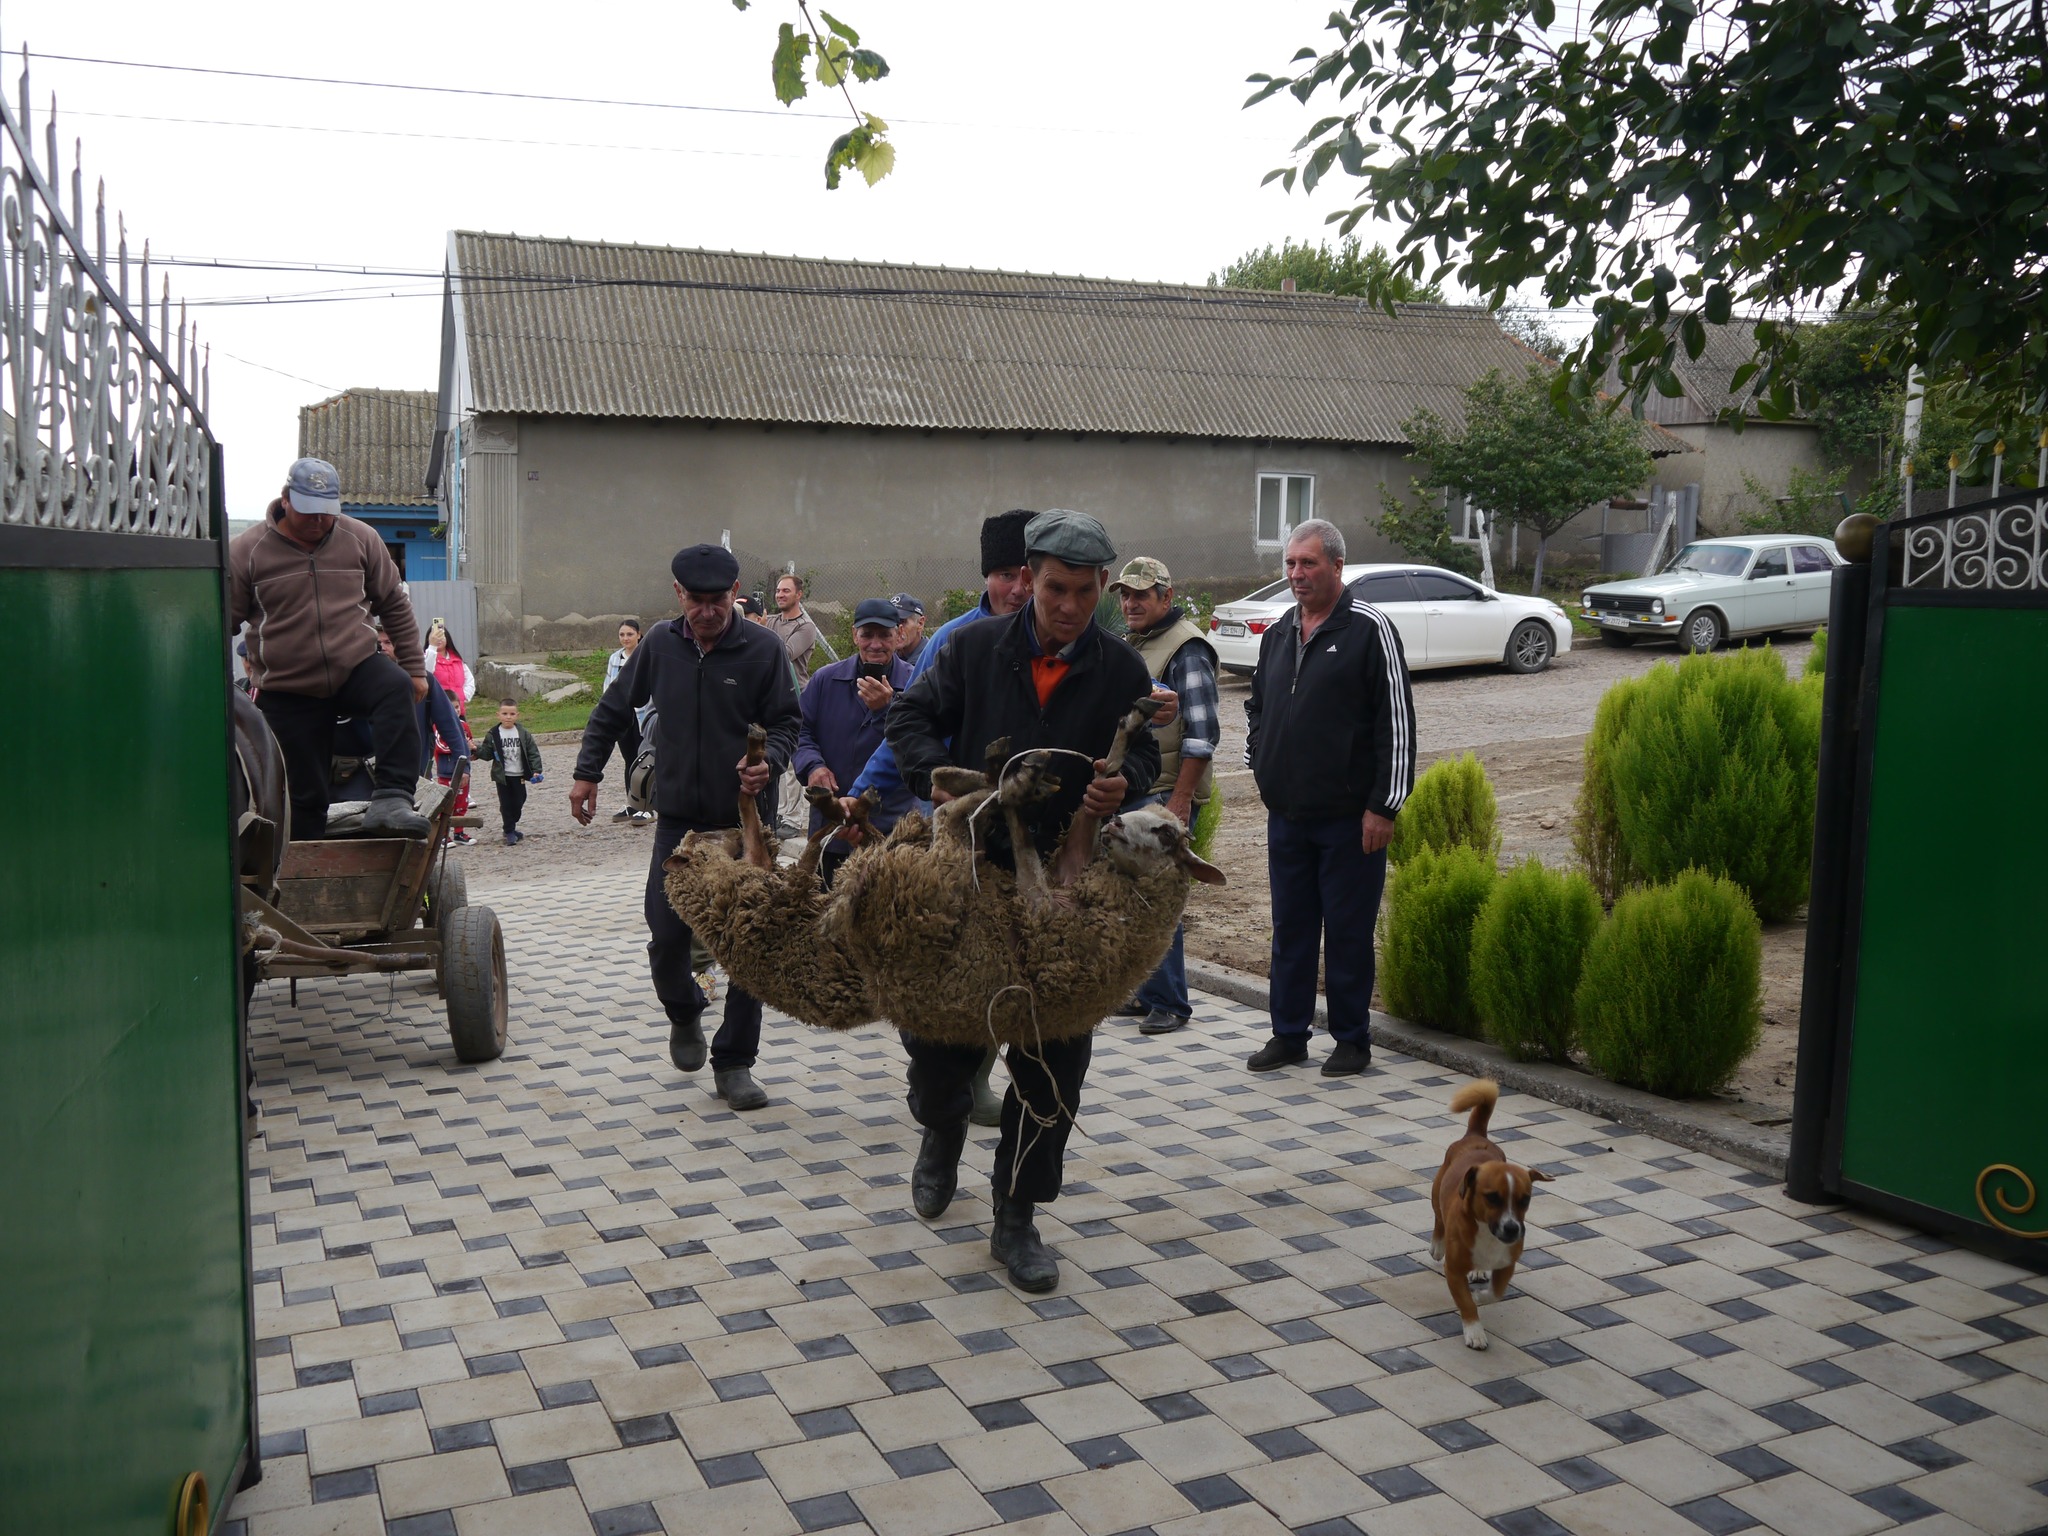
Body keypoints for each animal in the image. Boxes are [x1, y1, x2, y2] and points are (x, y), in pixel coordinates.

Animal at [1425, 1081, 1548, 1343]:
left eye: (1525, 1200)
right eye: (1492, 1198)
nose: (1512, 1228)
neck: (1487, 1235)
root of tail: (1476, 1135)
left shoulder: (1506, 1264)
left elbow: (1497, 1292)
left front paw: (1481, 1295)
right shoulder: (1454, 1271)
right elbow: (1466, 1303)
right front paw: (1474, 1331)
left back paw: (1479, 1271)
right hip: (1436, 1191)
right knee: (1438, 1217)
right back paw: (1437, 1244)